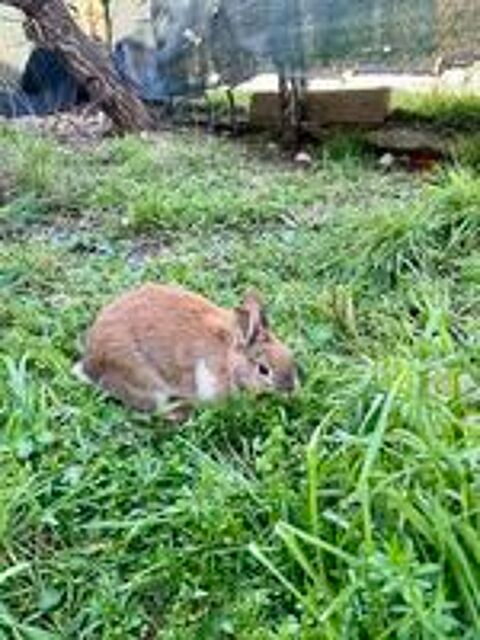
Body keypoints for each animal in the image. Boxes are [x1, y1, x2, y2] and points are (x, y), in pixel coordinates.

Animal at [73, 283, 297, 420]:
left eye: (290, 356)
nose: (290, 390)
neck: (230, 359)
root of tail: (90, 365)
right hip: (143, 380)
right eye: (263, 370)